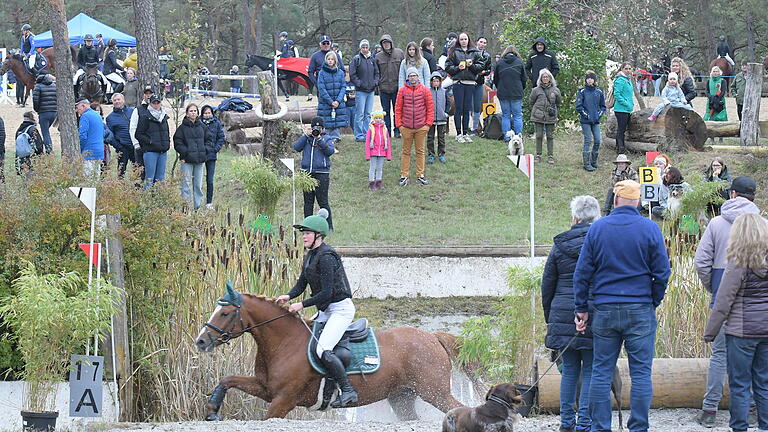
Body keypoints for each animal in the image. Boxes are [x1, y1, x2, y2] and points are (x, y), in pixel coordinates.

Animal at [195, 290, 468, 418]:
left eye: (225, 313)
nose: (201, 341)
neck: (284, 342)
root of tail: (432, 336)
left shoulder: (283, 400)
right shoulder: (266, 389)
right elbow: (227, 380)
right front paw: (212, 409)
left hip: (435, 393)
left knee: (459, 408)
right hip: (402, 398)